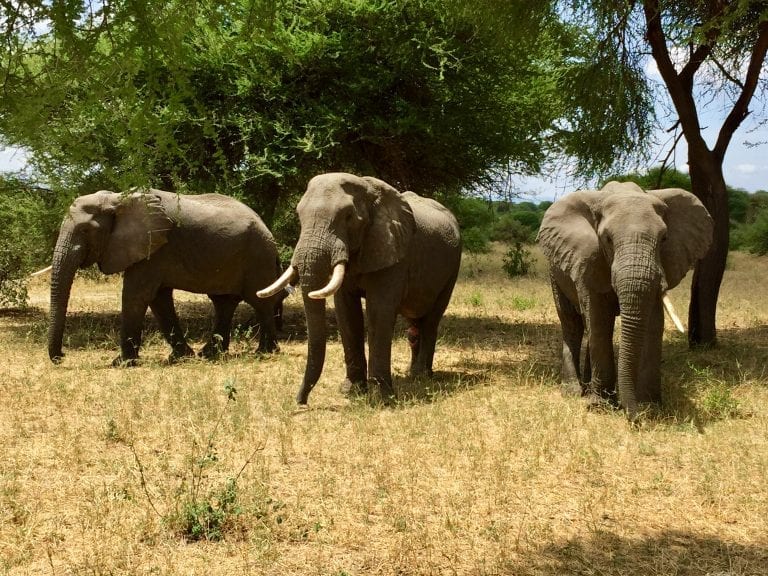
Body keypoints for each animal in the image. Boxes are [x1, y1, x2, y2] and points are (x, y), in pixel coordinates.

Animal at [48, 191, 282, 366]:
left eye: (85, 230)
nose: (62, 356)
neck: (117, 199)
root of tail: (266, 227)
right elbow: (158, 300)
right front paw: (181, 357)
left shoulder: (154, 247)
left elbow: (137, 295)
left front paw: (121, 363)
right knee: (223, 303)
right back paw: (210, 355)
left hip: (258, 255)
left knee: (258, 301)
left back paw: (265, 352)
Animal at [258, 172, 462, 404]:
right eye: (299, 216)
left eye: (348, 217)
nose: (301, 401)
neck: (367, 189)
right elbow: (347, 313)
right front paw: (351, 391)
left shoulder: (393, 251)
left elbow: (379, 311)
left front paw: (382, 398)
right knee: (415, 319)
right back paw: (411, 374)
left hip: (452, 268)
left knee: (431, 318)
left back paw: (421, 376)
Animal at [536, 180, 712, 418]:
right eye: (608, 240)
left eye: (664, 239)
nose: (633, 419)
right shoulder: (589, 258)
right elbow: (598, 320)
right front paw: (600, 407)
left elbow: (652, 324)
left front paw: (649, 407)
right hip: (555, 269)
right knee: (572, 323)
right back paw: (573, 392)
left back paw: (589, 388)